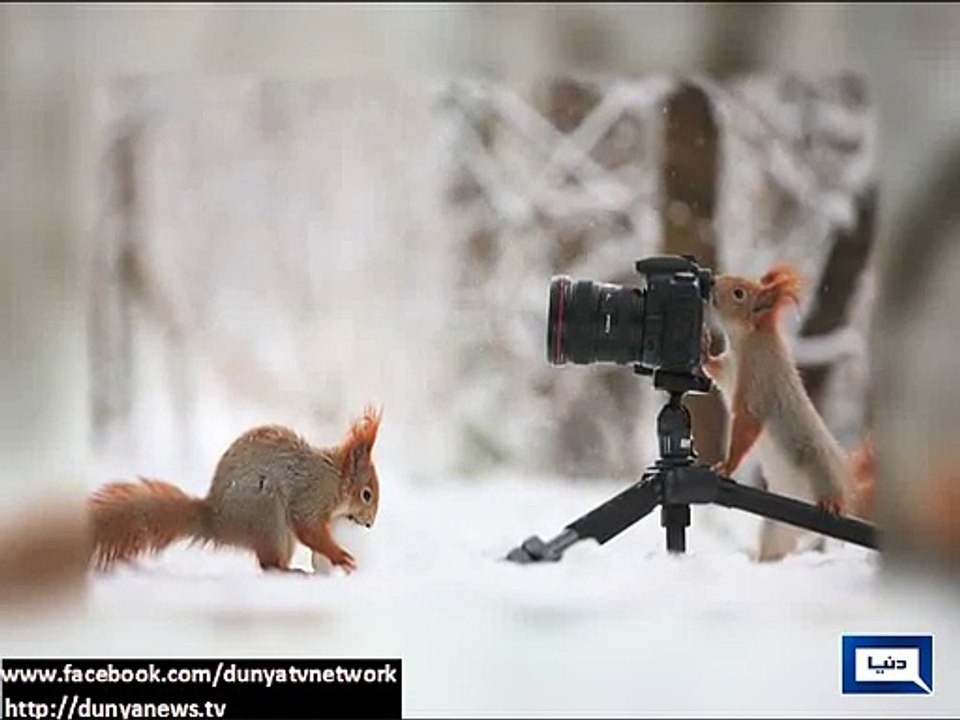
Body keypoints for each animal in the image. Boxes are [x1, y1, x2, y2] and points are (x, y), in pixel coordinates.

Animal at [88, 407, 382, 575]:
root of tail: (218, 522)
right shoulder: (310, 494)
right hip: (268, 515)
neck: (334, 480)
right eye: (366, 494)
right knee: (268, 564)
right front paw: (340, 556)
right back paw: (291, 572)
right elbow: (309, 528)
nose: (370, 524)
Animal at [702, 263, 859, 561]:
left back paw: (833, 503)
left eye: (739, 293)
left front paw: (726, 466)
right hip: (776, 531)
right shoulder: (729, 371)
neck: (745, 340)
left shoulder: (759, 384)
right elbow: (715, 371)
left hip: (820, 466)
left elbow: (748, 423)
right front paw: (703, 348)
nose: (713, 281)